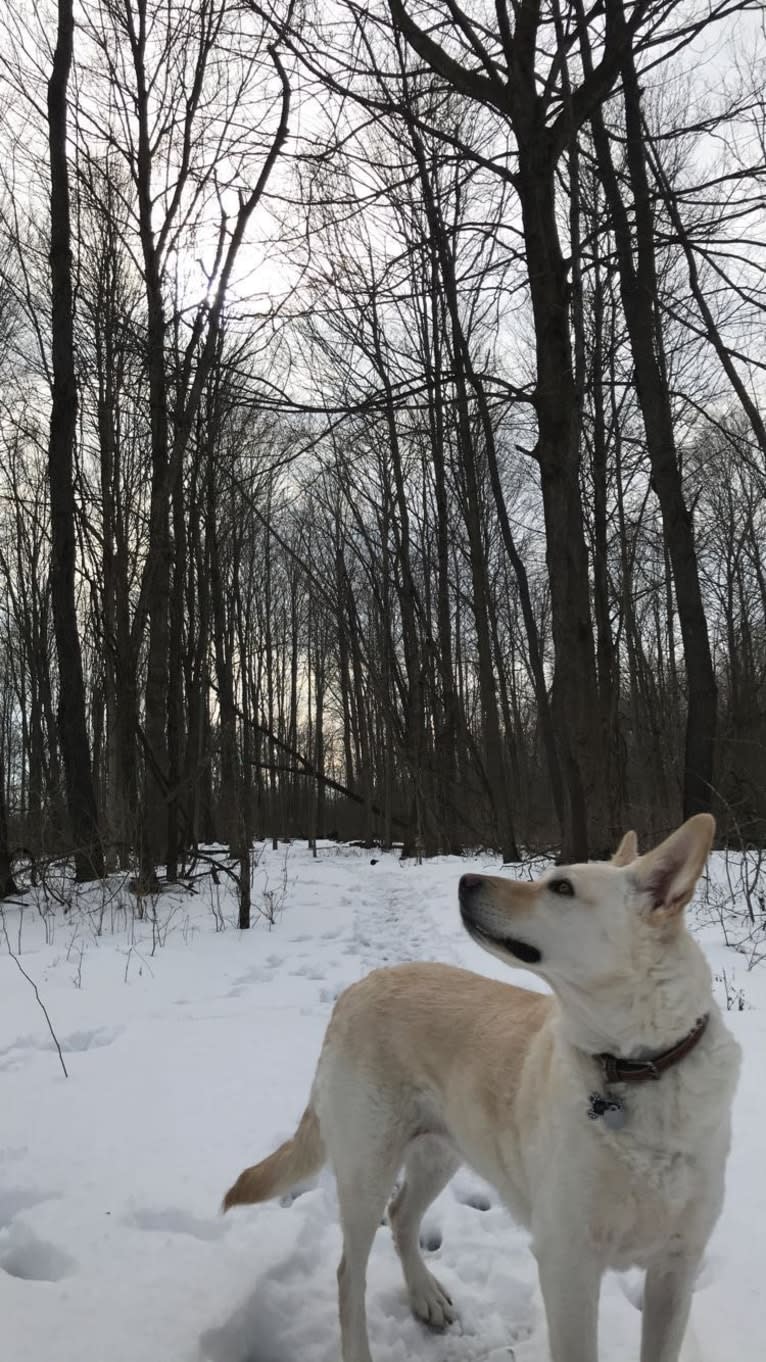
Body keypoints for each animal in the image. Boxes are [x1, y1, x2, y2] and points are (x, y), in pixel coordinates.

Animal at [223, 811, 736, 1362]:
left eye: (561, 888)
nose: (466, 880)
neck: (638, 1067)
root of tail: (358, 987)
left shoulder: (676, 1270)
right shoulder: (568, 1265)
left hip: (442, 1150)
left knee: (401, 1217)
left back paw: (424, 1296)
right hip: (367, 1168)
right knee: (348, 1273)